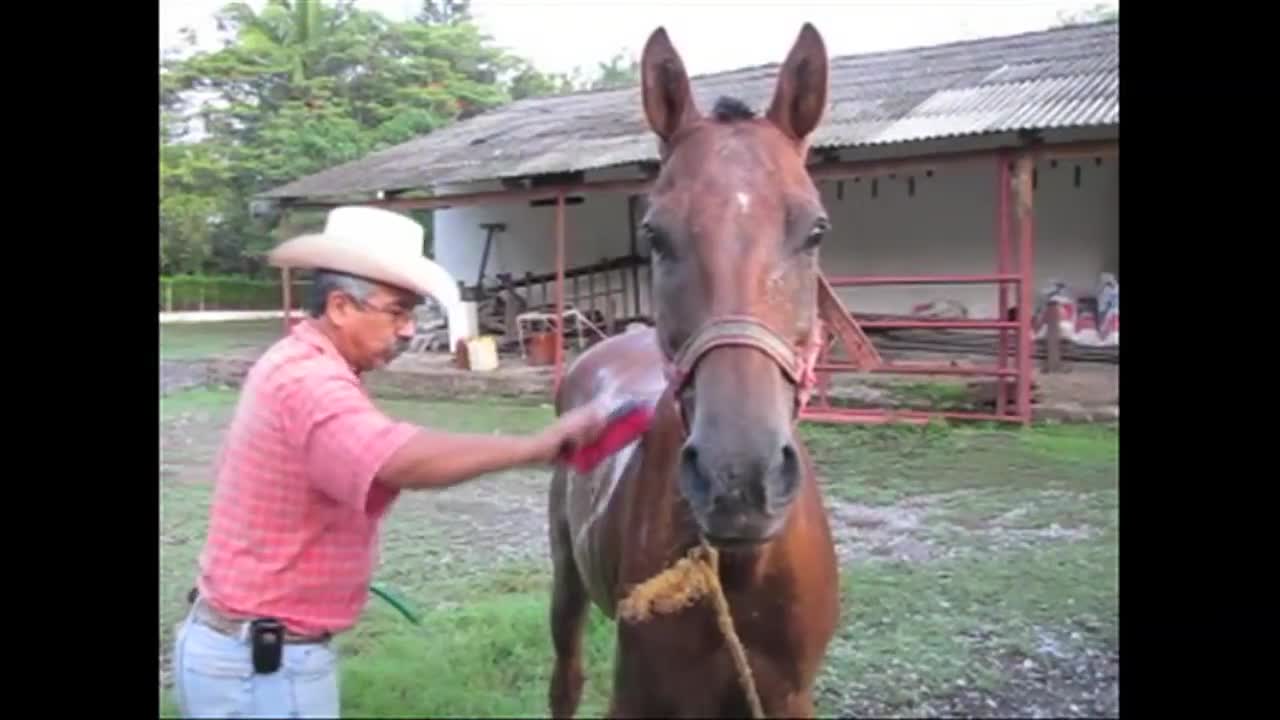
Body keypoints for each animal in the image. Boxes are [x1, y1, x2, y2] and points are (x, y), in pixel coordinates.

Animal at [547, 22, 839, 717]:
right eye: (655, 235)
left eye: (815, 231)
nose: (740, 480)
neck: (739, 571)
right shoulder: (639, 693)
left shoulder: (788, 696)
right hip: (565, 579)